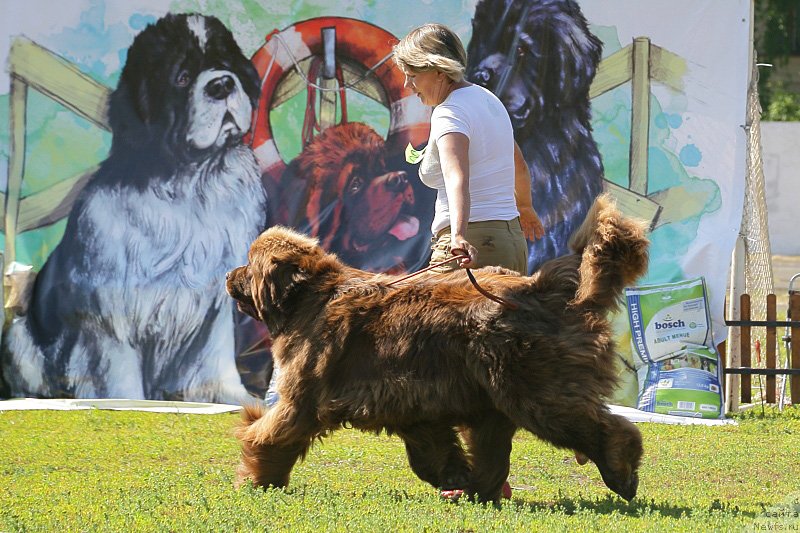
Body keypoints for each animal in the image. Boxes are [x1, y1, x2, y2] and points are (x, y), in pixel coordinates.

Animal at [0, 13, 268, 404]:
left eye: (226, 63)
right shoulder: (111, 313)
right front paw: (127, 403)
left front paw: (234, 399)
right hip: (19, 334)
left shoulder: (211, 304)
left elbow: (213, 361)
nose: (221, 84)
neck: (191, 188)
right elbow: (117, 375)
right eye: (181, 77)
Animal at [227, 193, 648, 500]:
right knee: (494, 452)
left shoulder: (303, 398)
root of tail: (548, 288)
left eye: (248, 264)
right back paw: (480, 490)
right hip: (496, 399)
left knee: (600, 427)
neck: (306, 297)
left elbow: (269, 435)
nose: (229, 274)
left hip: (536, 390)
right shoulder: (413, 405)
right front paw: (455, 475)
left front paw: (256, 479)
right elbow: (432, 453)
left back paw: (621, 471)